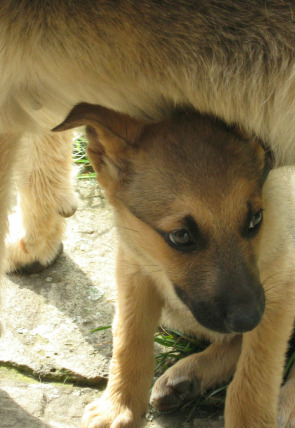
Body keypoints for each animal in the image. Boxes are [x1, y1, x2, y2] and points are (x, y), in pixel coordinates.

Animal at [54, 103, 295, 428]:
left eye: (255, 219)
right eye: (181, 236)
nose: (249, 319)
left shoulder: (281, 281)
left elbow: (254, 374)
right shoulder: (133, 266)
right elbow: (129, 338)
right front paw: (119, 406)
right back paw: (186, 377)